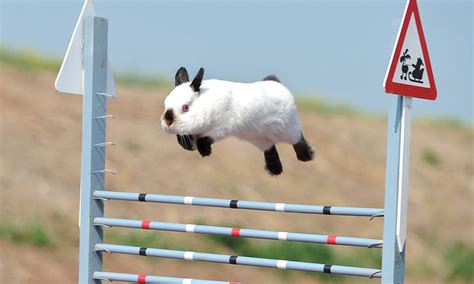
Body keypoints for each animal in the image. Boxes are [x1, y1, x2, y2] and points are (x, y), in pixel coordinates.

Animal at [160, 67, 314, 175]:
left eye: (186, 107)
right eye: (166, 104)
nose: (167, 123)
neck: (205, 102)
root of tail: (276, 83)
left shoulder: (221, 128)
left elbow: (203, 141)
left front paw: (205, 152)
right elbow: (185, 141)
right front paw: (190, 147)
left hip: (287, 129)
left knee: (298, 138)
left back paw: (306, 156)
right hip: (260, 139)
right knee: (270, 148)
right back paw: (275, 170)